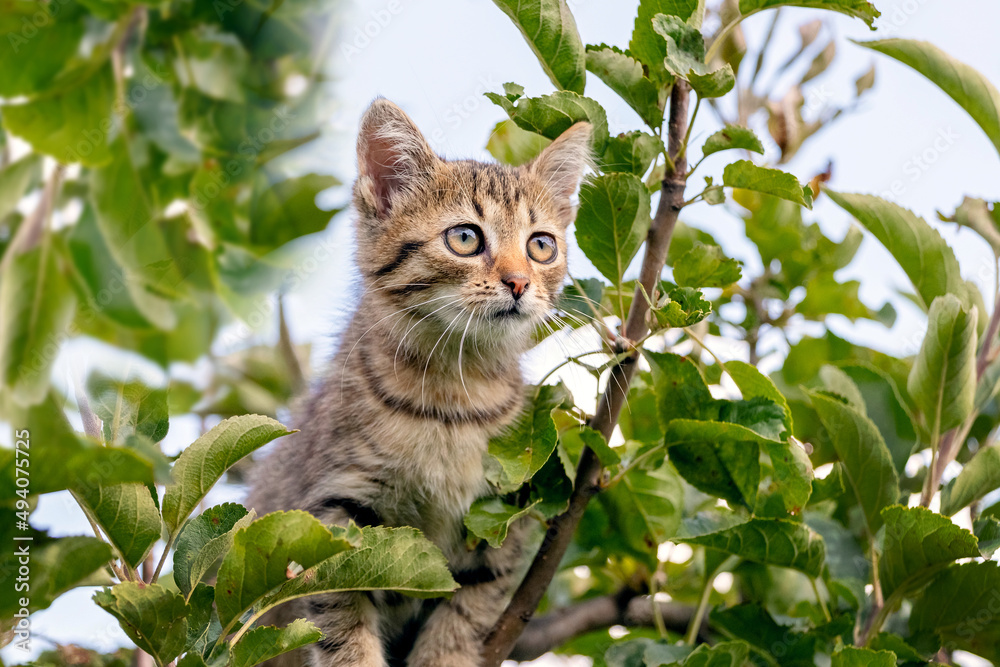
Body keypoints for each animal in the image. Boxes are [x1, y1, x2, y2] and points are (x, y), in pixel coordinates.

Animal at [249, 99, 588, 667]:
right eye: (465, 237)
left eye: (541, 246)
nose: (520, 282)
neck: (453, 393)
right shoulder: (337, 513)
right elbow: (342, 627)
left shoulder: (497, 523)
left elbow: (463, 618)